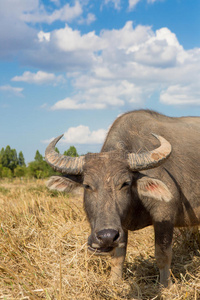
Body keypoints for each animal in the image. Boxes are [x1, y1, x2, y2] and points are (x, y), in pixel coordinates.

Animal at [45, 109, 200, 288]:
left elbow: (162, 255)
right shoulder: (120, 227)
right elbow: (118, 256)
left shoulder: (164, 216)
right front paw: (114, 282)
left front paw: (165, 285)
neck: (135, 201)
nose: (106, 236)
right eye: (87, 185)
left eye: (125, 183)